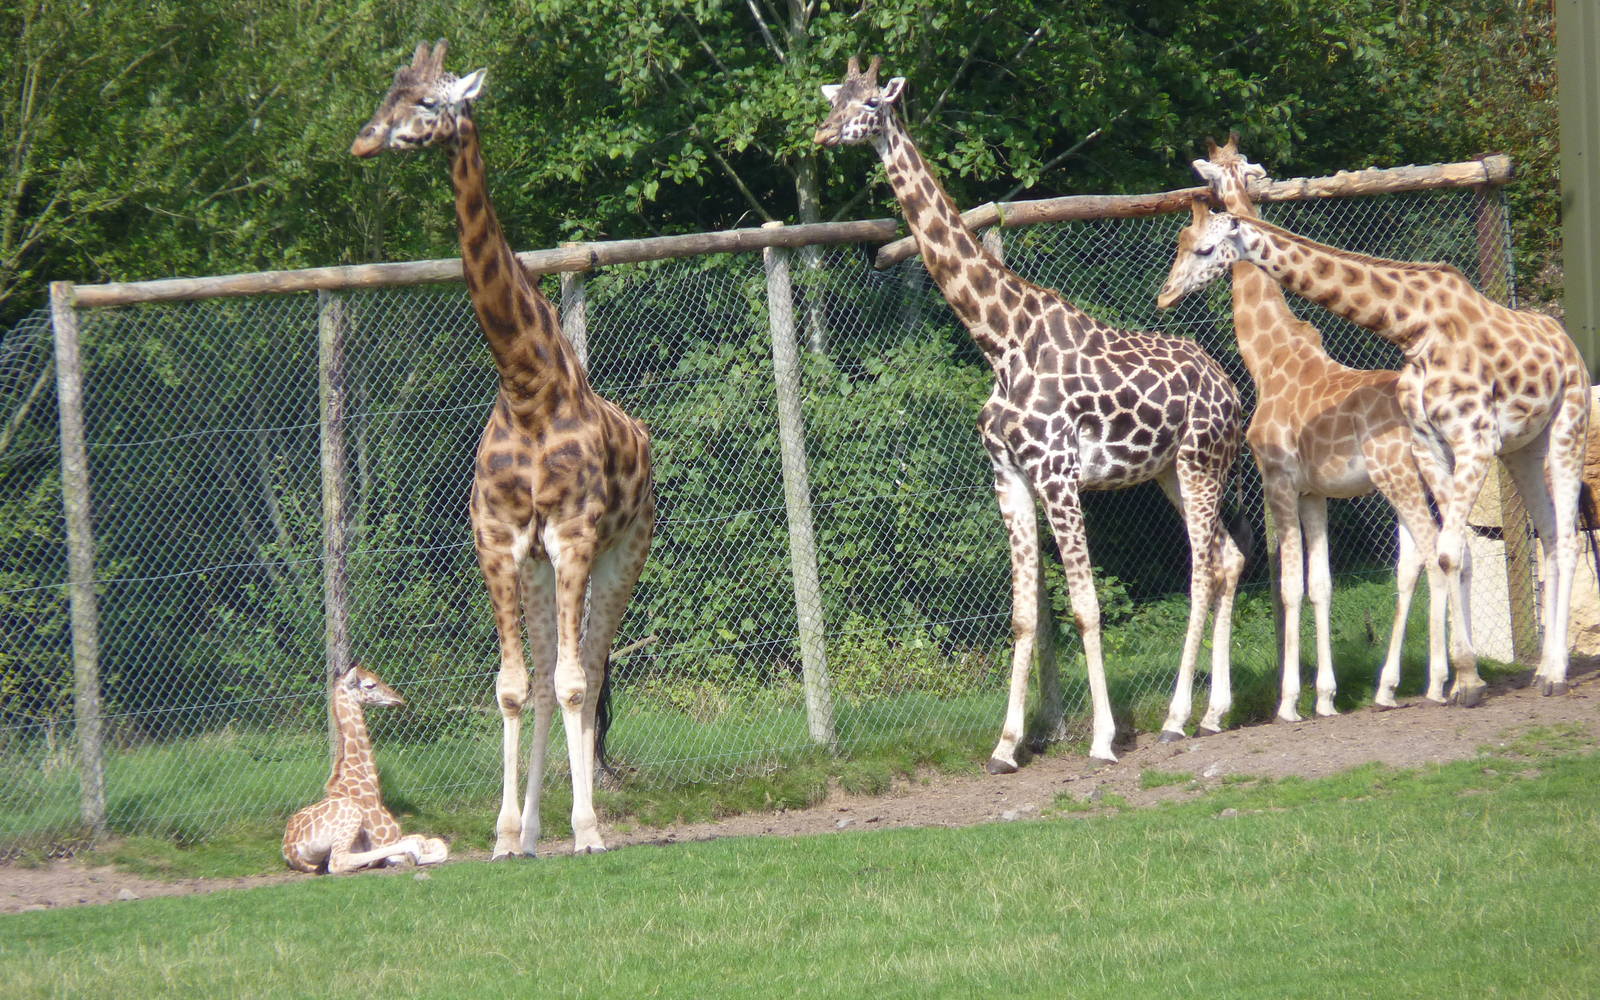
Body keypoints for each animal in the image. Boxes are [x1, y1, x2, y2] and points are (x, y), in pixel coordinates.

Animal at [283, 664, 449, 874]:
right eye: (370, 685)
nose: (398, 699)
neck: (363, 777)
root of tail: (291, 851)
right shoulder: (386, 838)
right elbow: (422, 844)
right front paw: (406, 858)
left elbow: (436, 843)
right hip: (351, 817)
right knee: (338, 862)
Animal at [351, 40, 655, 857]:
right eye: (388, 92)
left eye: (430, 103)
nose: (364, 142)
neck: (527, 385)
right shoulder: (499, 541)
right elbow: (515, 687)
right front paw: (505, 834)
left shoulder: (577, 537)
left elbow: (577, 683)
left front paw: (589, 830)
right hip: (542, 570)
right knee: (549, 677)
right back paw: (534, 831)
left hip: (622, 555)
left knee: (588, 668)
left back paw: (580, 825)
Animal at [815, 57, 1248, 767]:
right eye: (835, 99)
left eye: (870, 103)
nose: (823, 134)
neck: (1000, 340)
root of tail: (1231, 389)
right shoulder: (1010, 476)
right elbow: (1023, 614)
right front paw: (1006, 744)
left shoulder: (1058, 474)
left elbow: (1085, 606)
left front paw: (1103, 738)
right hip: (1167, 472)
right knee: (1229, 559)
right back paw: (1213, 713)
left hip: (1200, 463)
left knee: (1204, 569)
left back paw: (1178, 716)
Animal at [1159, 203, 1590, 702]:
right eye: (1180, 243)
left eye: (1205, 248)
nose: (1166, 295)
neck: (1414, 328)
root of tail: (1563, 338)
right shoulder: (1426, 447)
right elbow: (1441, 555)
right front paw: (1461, 676)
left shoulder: (1472, 438)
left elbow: (1438, 555)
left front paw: (1462, 680)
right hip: (1520, 449)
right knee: (1549, 537)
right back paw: (1532, 669)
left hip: (1566, 426)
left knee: (1565, 538)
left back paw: (1552, 673)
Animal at [1173, 136, 1458, 717]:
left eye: (1199, 247)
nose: (1164, 294)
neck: (1269, 357)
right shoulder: (1314, 492)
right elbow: (1320, 584)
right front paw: (1324, 696)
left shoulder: (1278, 482)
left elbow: (1288, 587)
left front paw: (1288, 702)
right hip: (1424, 478)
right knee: (1423, 559)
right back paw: (1402, 684)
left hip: (1397, 476)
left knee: (1433, 555)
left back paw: (1439, 682)